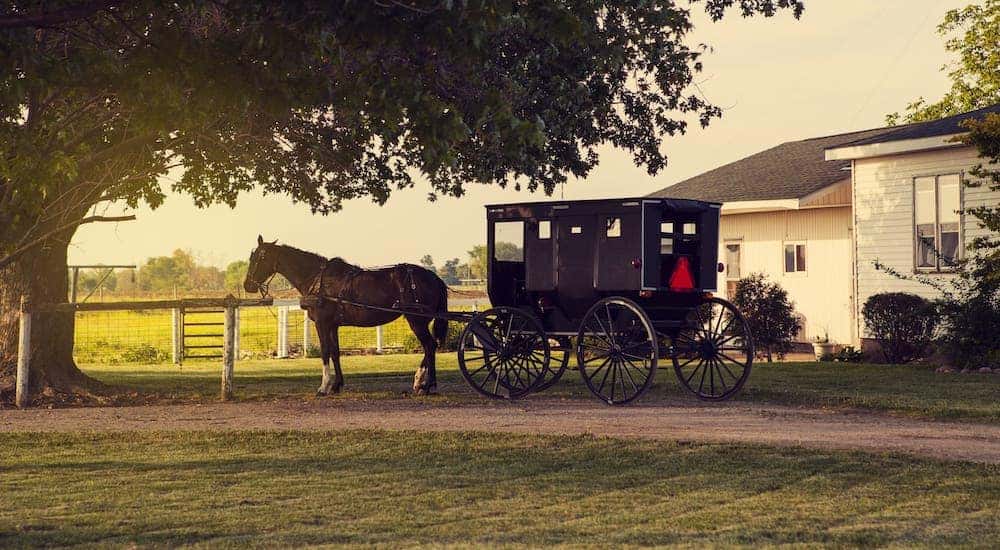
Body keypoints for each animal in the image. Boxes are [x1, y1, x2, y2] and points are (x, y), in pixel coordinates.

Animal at [243, 236, 449, 396]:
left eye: (259, 258)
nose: (247, 285)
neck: (319, 280)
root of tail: (435, 278)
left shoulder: (322, 323)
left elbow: (325, 351)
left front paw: (324, 387)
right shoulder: (333, 324)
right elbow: (335, 352)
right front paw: (337, 385)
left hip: (416, 320)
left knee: (429, 346)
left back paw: (428, 385)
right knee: (430, 347)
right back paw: (419, 381)